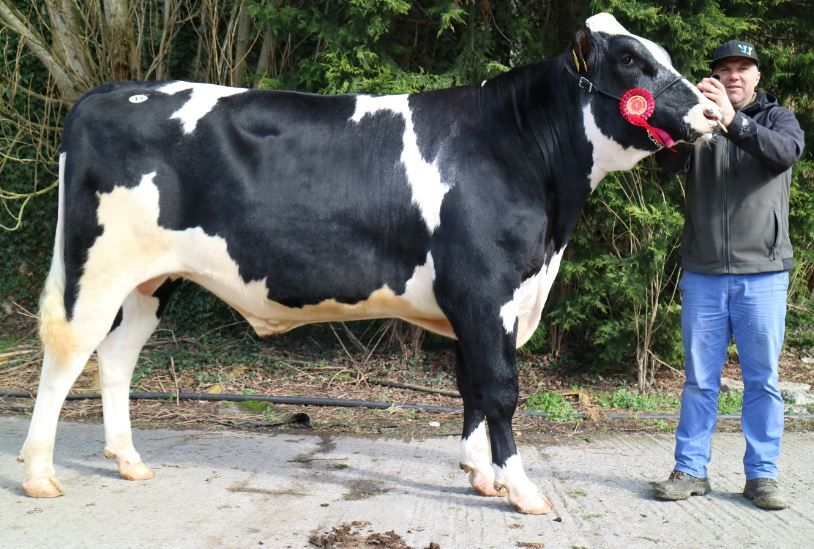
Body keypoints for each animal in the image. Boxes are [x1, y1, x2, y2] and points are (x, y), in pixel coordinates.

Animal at [18, 13, 721, 514]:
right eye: (630, 60)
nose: (713, 111)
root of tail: (109, 92)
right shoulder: (485, 290)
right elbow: (499, 389)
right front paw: (521, 490)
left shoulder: (478, 302)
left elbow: (470, 384)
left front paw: (479, 475)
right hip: (98, 262)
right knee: (70, 346)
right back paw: (39, 473)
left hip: (150, 279)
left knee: (117, 354)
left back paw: (128, 460)